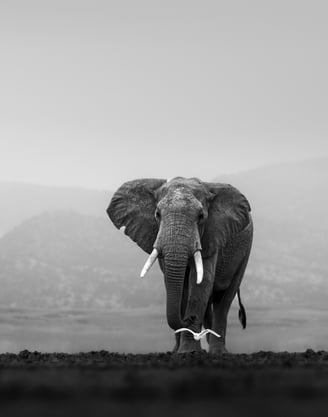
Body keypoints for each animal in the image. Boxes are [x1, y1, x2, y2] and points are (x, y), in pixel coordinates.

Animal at [106, 175, 252, 352]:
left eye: (201, 216)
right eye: (157, 214)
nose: (190, 318)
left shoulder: (212, 234)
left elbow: (200, 282)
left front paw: (189, 351)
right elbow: (177, 285)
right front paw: (179, 352)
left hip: (245, 252)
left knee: (223, 300)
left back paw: (218, 352)